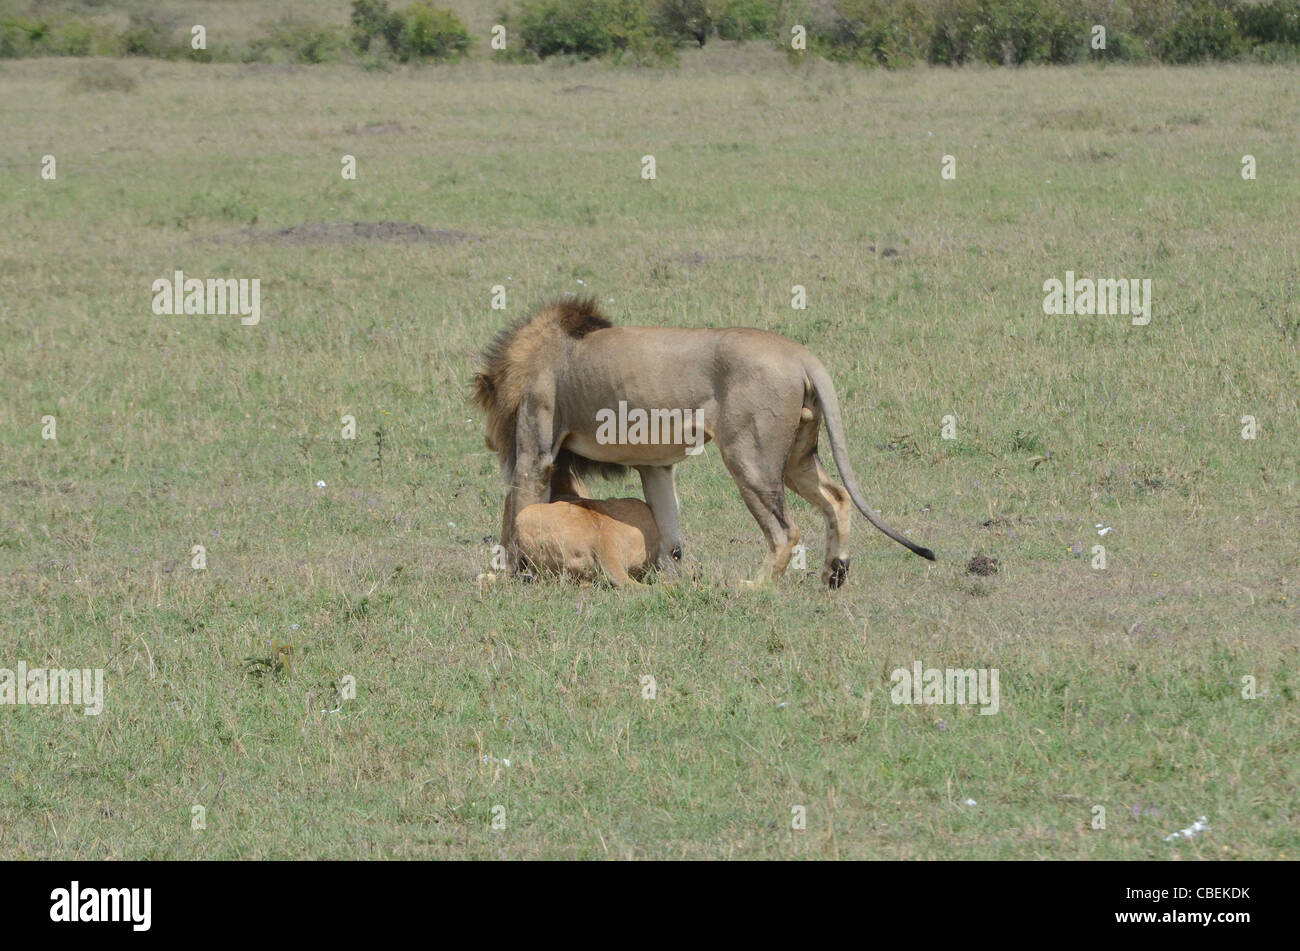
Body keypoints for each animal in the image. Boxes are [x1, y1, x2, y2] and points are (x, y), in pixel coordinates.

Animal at [473, 298, 935, 588]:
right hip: (795, 457)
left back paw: (754, 586)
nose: (489, 440)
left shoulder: (535, 453)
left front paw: (508, 576)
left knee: (785, 530)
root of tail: (800, 354)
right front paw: (673, 577)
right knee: (837, 497)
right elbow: (670, 535)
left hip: (749, 455)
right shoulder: (655, 466)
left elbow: (514, 518)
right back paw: (833, 574)